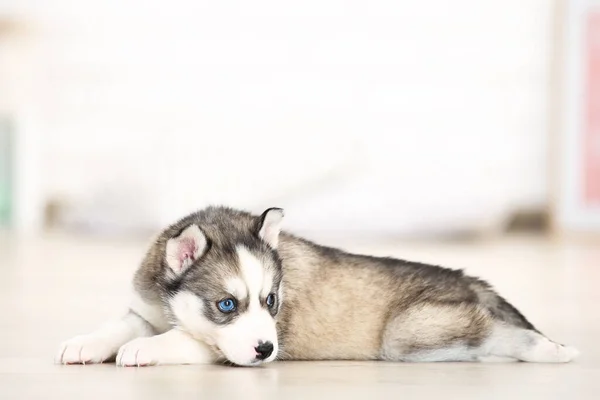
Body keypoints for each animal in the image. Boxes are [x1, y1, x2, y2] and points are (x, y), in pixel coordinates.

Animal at [56, 206, 576, 366]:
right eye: (226, 304)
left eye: (271, 300)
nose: (267, 351)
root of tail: (469, 278)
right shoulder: (145, 306)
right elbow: (120, 324)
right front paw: (84, 343)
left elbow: (190, 339)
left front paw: (146, 349)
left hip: (409, 334)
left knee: (497, 334)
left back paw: (549, 349)